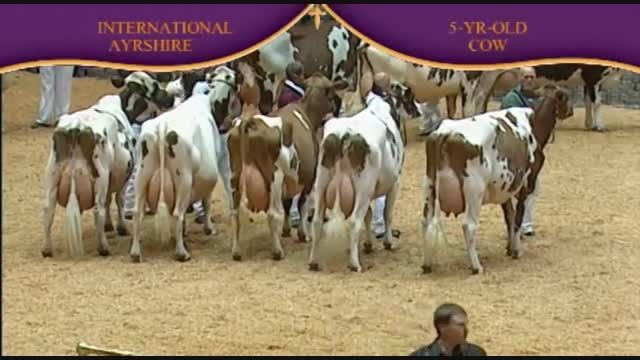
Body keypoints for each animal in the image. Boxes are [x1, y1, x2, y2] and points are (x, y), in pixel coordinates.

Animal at [224, 71, 344, 262]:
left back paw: (236, 251)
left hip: (235, 173)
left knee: (235, 213)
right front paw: (303, 234)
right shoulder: (309, 176)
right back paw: (277, 251)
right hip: (274, 176)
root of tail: (249, 121)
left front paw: (287, 230)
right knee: (272, 213)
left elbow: (287, 203)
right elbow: (301, 204)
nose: (336, 108)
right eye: (332, 92)